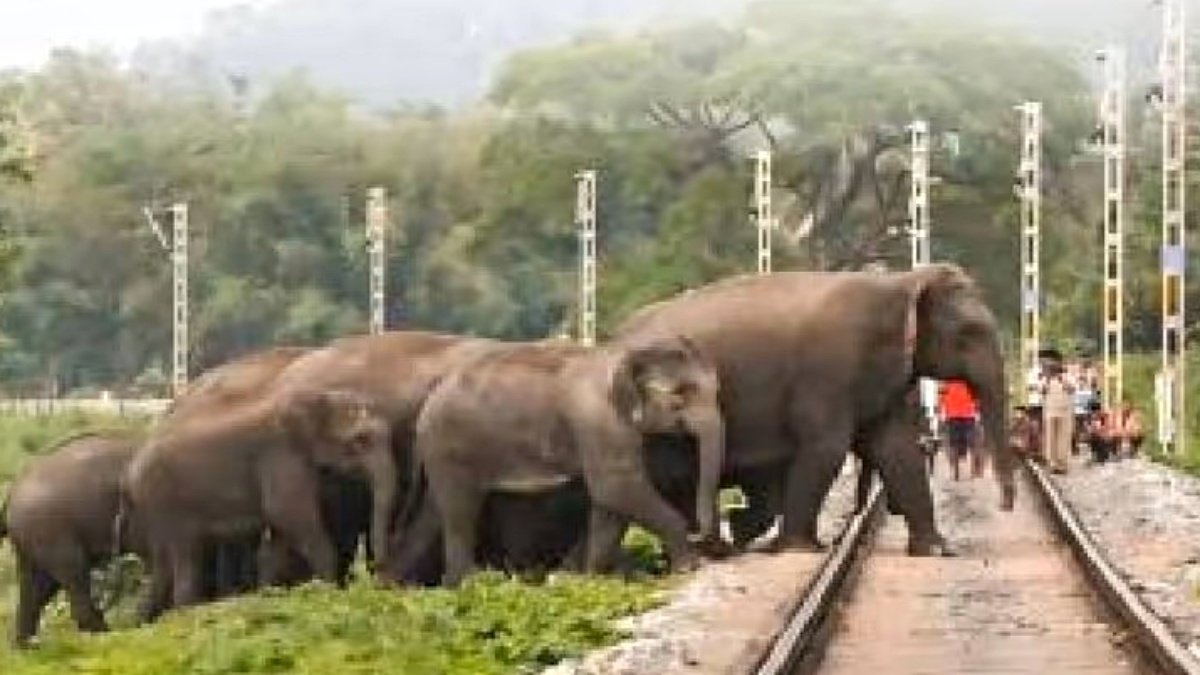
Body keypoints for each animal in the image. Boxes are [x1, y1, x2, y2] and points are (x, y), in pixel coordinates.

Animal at [2, 432, 143, 646]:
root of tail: (12, 492)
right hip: (51, 530)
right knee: (72, 580)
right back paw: (108, 637)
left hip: (34, 537)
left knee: (34, 591)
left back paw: (30, 647)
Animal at [124, 386, 396, 620]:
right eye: (360, 440)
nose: (379, 579)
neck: (319, 396)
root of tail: (132, 471)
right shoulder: (279, 456)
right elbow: (287, 515)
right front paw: (329, 594)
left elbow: (280, 534)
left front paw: (268, 596)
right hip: (167, 501)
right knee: (186, 557)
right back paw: (185, 614)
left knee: (162, 566)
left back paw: (140, 622)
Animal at [412, 337, 724, 586]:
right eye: (681, 394)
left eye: (717, 390)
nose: (701, 536)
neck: (623, 354)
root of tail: (431, 398)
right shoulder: (598, 420)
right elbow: (614, 488)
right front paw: (689, 567)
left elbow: (609, 506)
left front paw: (591, 578)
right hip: (447, 448)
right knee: (460, 513)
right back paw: (470, 585)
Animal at [613, 264, 1012, 552]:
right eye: (969, 333)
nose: (1005, 506)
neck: (902, 281)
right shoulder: (828, 372)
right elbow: (826, 447)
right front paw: (799, 549)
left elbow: (896, 449)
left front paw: (937, 550)